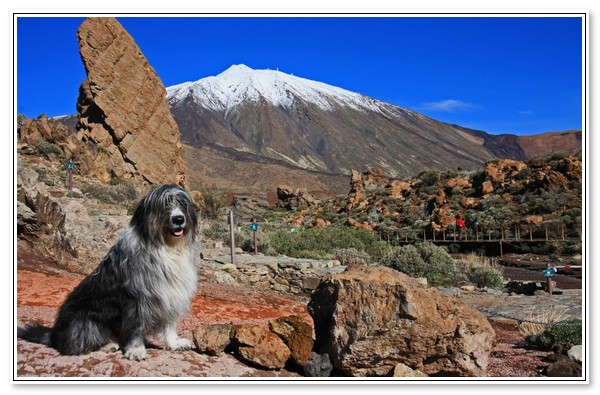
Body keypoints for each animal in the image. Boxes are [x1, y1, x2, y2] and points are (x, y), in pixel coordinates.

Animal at [16, 184, 198, 360]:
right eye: (163, 204)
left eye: (183, 203)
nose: (179, 219)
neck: (165, 246)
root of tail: (55, 334)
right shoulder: (135, 299)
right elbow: (135, 327)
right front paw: (136, 350)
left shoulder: (170, 294)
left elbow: (169, 324)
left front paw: (174, 343)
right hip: (85, 322)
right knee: (75, 346)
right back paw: (106, 345)